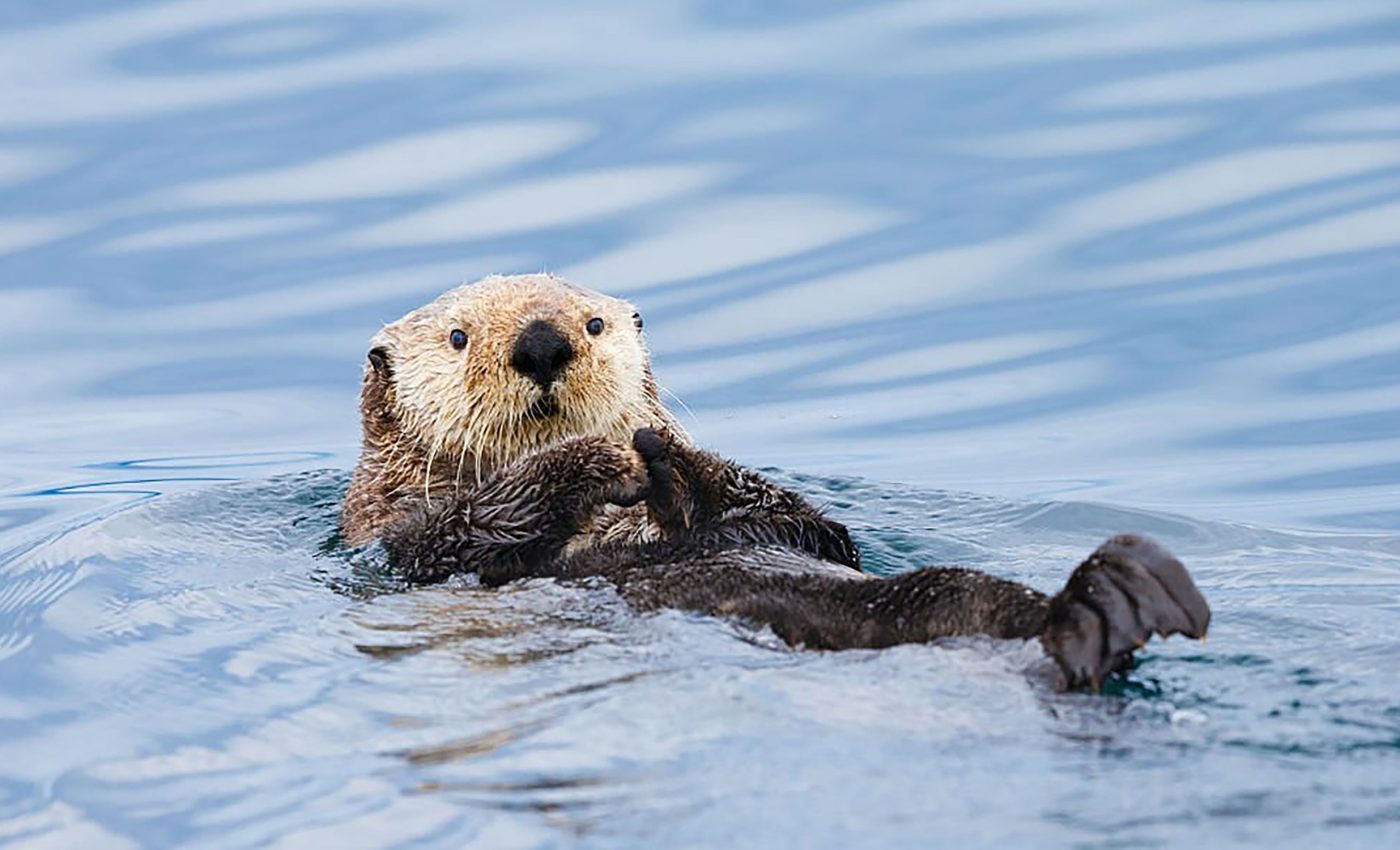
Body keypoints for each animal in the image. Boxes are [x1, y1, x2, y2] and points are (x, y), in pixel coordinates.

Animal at [345, 273, 1209, 691]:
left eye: (593, 323)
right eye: (459, 338)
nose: (541, 342)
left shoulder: (803, 528)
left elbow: (806, 523)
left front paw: (665, 456)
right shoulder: (403, 542)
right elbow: (475, 527)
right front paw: (603, 459)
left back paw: (1120, 597)